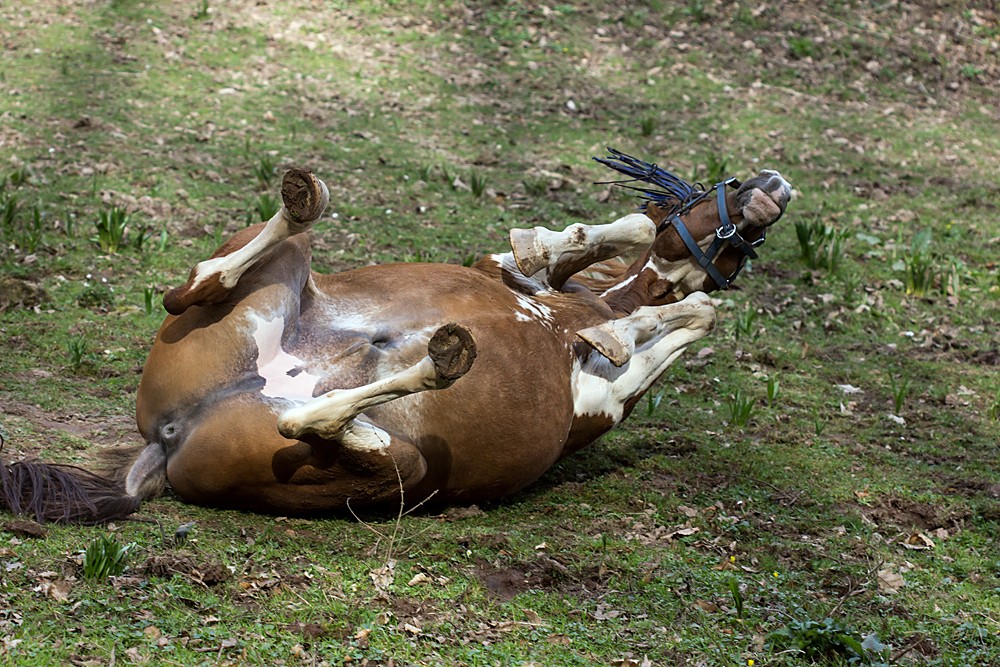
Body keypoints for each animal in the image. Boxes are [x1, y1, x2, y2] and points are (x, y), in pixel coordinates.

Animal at [3, 151, 792, 520]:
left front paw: (634, 325)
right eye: (720, 188)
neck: (575, 313)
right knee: (201, 282)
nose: (776, 187)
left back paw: (438, 359)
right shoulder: (505, 274)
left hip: (396, 464)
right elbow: (614, 245)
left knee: (312, 419)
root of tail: (164, 441)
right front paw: (603, 294)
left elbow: (690, 312)